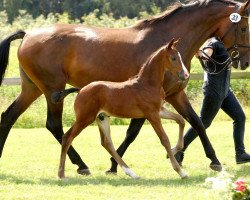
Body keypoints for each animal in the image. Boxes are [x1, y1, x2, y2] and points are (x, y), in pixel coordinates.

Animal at [53, 38, 189, 178]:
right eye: (173, 58)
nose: (185, 75)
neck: (148, 84)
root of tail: (80, 90)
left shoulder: (159, 111)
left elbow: (181, 120)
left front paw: (174, 149)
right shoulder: (152, 114)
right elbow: (164, 139)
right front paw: (180, 171)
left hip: (102, 118)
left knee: (107, 143)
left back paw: (131, 173)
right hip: (85, 118)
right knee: (67, 137)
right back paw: (61, 174)